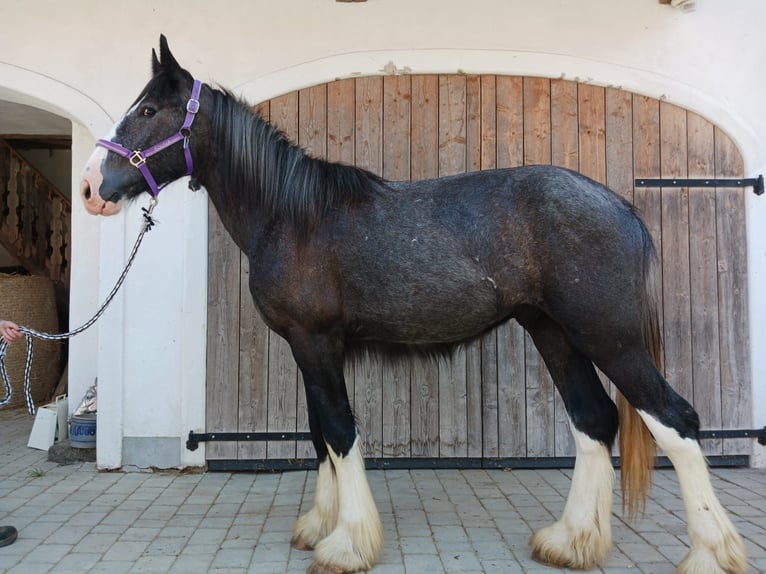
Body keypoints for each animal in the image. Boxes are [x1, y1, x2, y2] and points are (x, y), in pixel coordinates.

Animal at [80, 36, 747, 574]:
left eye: (148, 110)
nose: (90, 187)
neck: (292, 215)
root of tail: (621, 207)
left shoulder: (317, 342)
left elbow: (340, 433)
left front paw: (347, 543)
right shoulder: (308, 349)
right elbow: (320, 433)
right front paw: (320, 526)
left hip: (610, 337)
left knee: (677, 422)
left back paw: (709, 554)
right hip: (553, 331)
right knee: (594, 421)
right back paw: (571, 541)